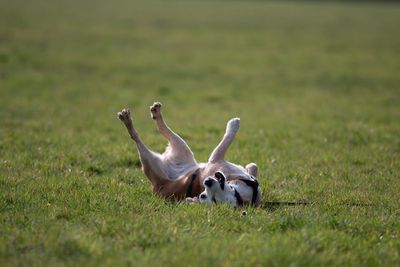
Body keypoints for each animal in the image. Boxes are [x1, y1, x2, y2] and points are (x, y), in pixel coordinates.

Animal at [118, 102, 262, 207]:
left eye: (205, 196)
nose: (207, 181)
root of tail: (156, 186)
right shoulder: (216, 159)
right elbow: (250, 161)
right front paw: (234, 124)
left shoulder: (216, 161)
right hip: (181, 146)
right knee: (158, 131)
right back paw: (152, 114)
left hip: (167, 154)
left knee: (141, 135)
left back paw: (130, 119)